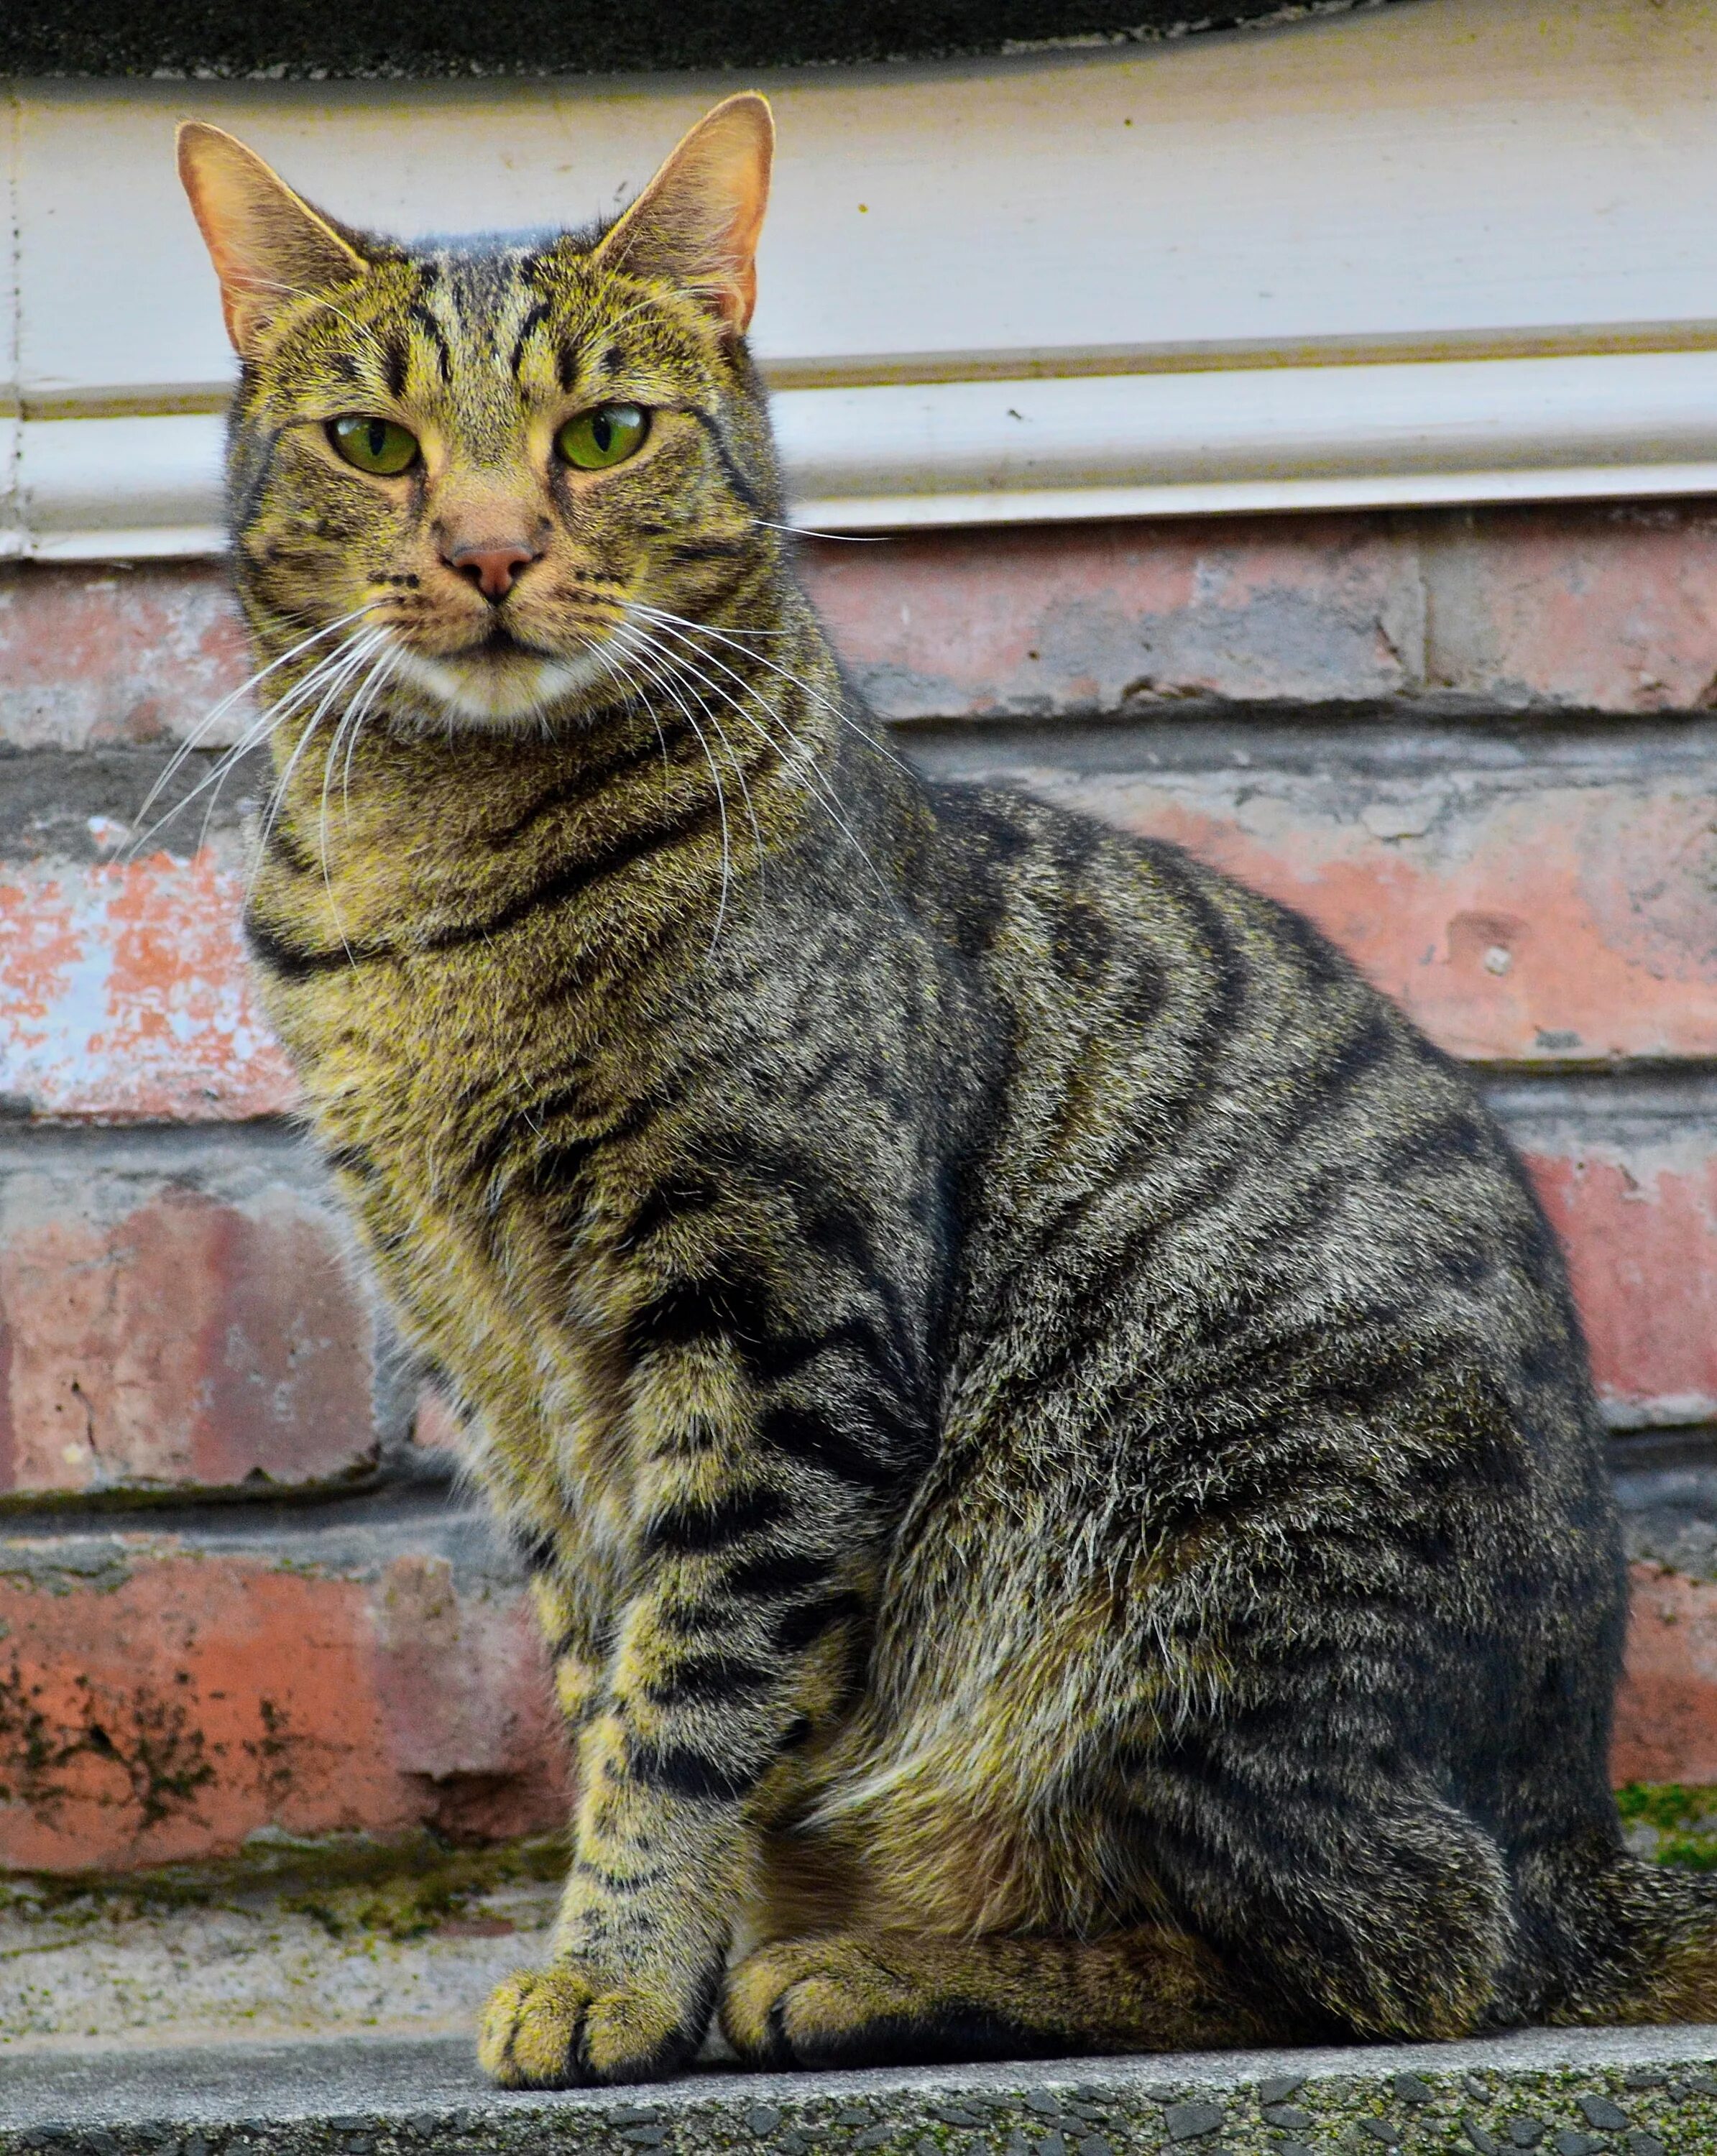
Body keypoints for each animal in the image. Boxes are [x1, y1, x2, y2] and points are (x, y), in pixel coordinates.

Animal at [178, 101, 1717, 2087]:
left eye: (602, 433)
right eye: (374, 443)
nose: (495, 548)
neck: (433, 874)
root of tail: (1576, 1852)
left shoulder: (776, 1317)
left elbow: (692, 1697)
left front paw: (623, 1967)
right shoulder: (502, 1367)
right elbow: (610, 1677)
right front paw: (639, 1939)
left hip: (1168, 1599)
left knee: (1391, 1949)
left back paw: (869, 1970)